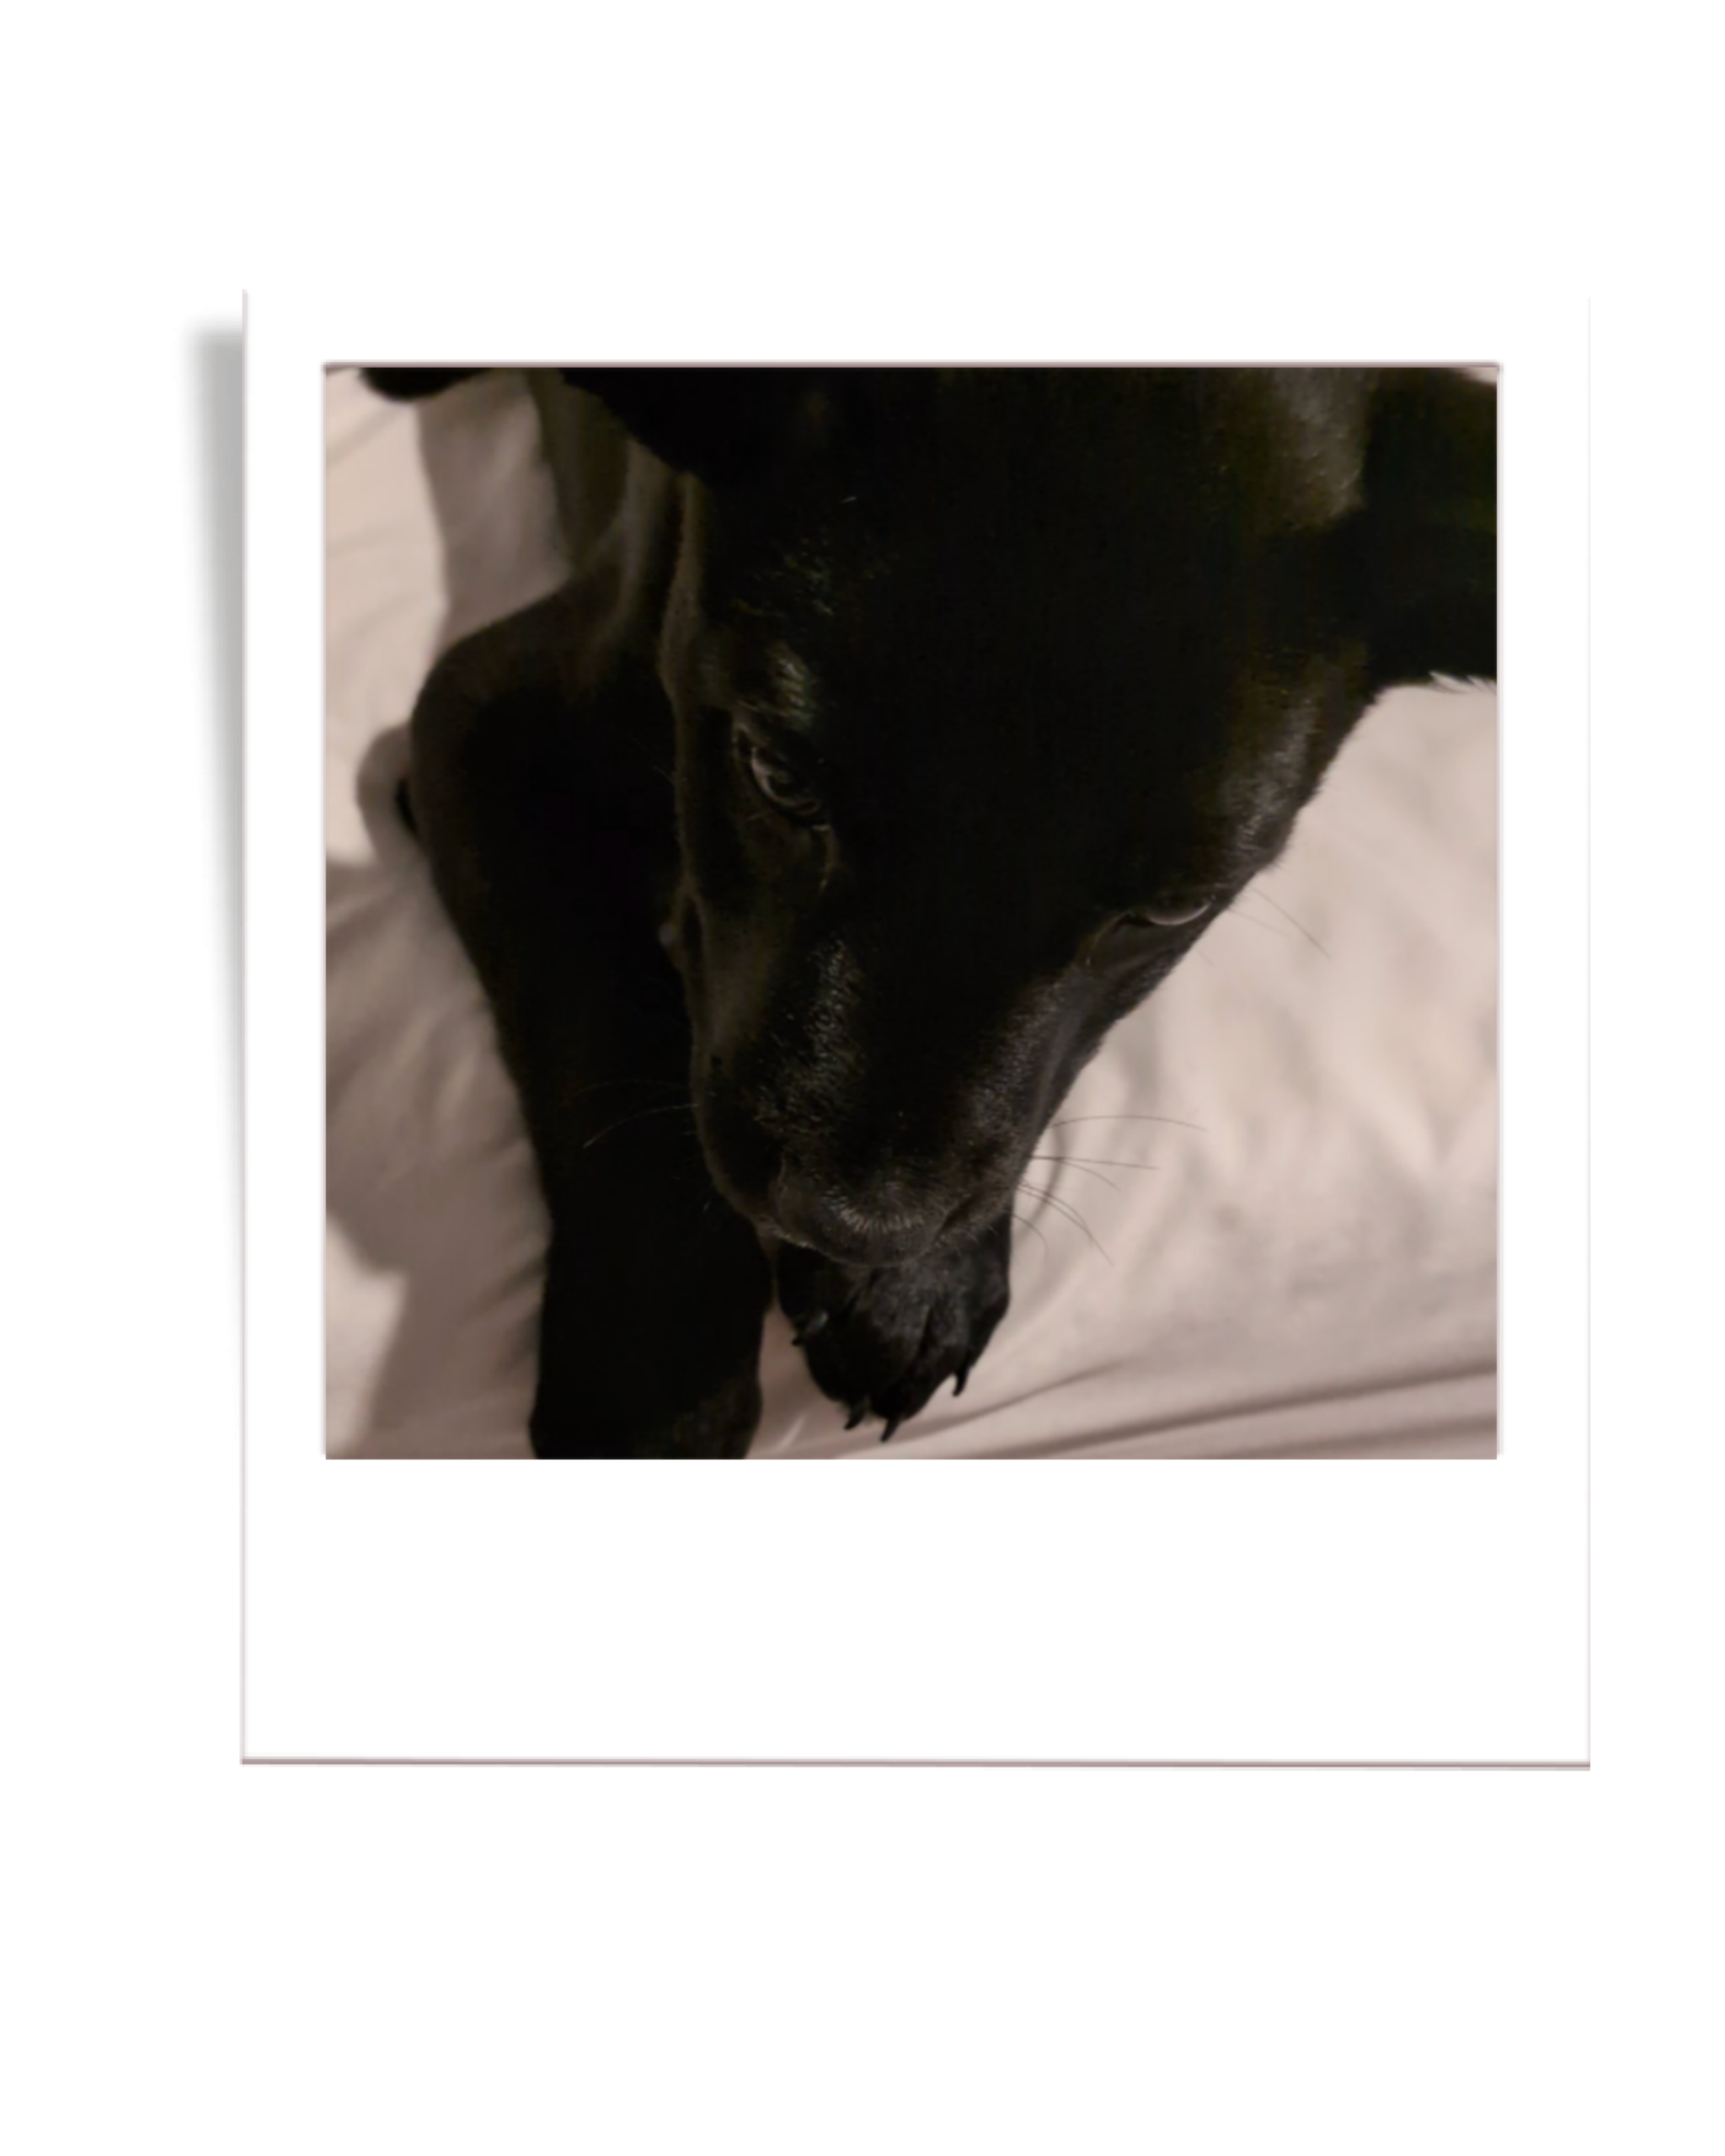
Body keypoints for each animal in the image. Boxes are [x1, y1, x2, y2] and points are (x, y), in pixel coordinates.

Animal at [360, 366, 1496, 1457]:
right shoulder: (478, 728)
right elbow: (611, 1027)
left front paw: (910, 1284)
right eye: (775, 776)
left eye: (1176, 908)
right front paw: (660, 1390)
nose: (855, 1224)